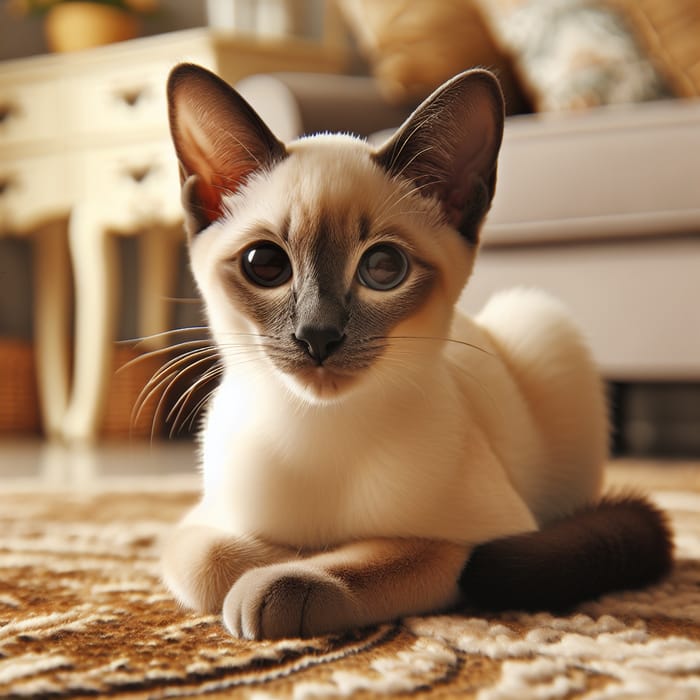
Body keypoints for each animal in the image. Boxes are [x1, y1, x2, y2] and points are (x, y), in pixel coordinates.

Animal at [161, 63, 668, 636]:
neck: (318, 428)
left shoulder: (477, 536)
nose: (318, 336)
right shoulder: (203, 519)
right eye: (264, 264)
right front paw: (278, 554)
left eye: (383, 268)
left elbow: (378, 556)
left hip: (539, 320)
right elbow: (210, 559)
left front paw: (287, 573)